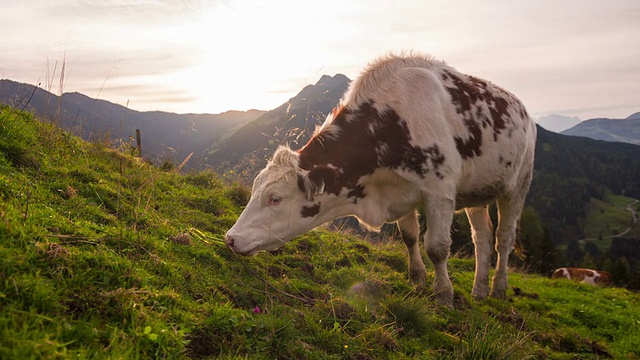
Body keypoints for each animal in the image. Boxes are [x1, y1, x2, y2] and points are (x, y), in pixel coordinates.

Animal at [225, 53, 536, 310]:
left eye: (275, 198)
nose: (230, 238)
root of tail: (524, 111)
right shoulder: (400, 192)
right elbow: (410, 237)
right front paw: (417, 279)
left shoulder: (440, 192)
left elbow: (436, 247)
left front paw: (444, 296)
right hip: (477, 193)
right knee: (482, 236)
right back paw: (479, 290)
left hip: (519, 185)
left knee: (503, 238)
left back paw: (498, 288)